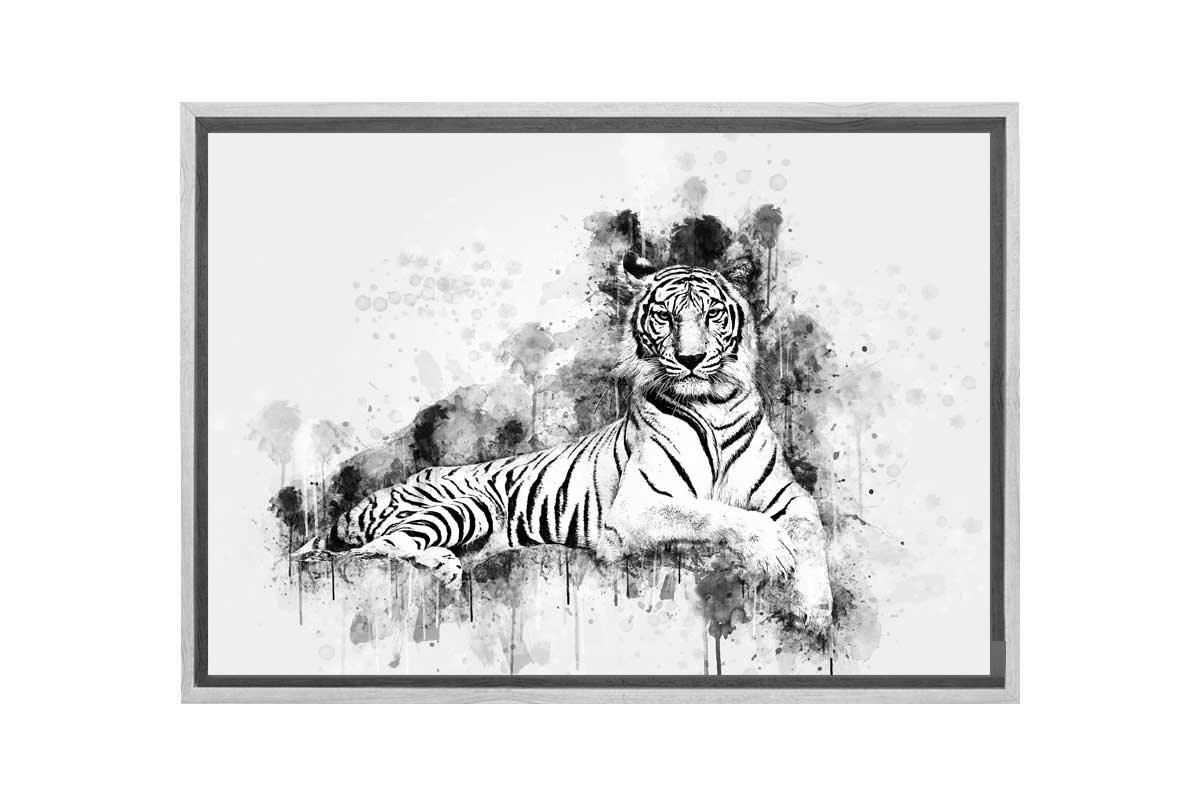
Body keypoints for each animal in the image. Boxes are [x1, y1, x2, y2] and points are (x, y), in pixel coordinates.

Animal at [297, 255, 834, 631]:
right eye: (664, 316)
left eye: (713, 314)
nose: (690, 359)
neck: (713, 401)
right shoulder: (640, 506)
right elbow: (714, 514)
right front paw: (771, 551)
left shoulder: (789, 497)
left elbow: (810, 534)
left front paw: (817, 614)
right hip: (464, 504)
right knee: (378, 549)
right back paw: (444, 567)